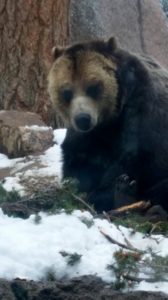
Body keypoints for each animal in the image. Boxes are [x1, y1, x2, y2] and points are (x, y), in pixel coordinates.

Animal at [47, 36, 168, 212]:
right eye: (66, 92)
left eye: (93, 87)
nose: (83, 119)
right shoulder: (87, 136)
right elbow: (79, 161)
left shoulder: (141, 111)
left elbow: (132, 157)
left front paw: (110, 193)